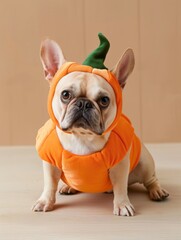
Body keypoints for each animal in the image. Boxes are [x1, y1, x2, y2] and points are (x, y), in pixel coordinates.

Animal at [32, 33, 168, 216]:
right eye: (65, 95)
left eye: (104, 100)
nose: (83, 103)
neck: (82, 137)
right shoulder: (50, 163)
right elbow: (49, 185)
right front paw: (45, 201)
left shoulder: (120, 166)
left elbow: (120, 187)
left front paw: (122, 204)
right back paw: (69, 187)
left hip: (144, 164)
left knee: (150, 179)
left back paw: (157, 191)